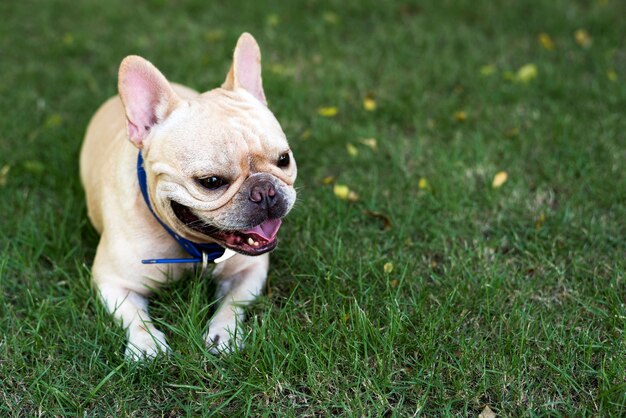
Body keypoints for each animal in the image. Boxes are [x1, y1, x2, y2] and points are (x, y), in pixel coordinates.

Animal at [80, 33, 294, 360]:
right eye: (211, 181)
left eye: (284, 160)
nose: (264, 190)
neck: (196, 248)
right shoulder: (113, 281)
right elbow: (133, 316)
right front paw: (146, 344)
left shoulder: (250, 270)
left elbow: (234, 303)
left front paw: (224, 333)